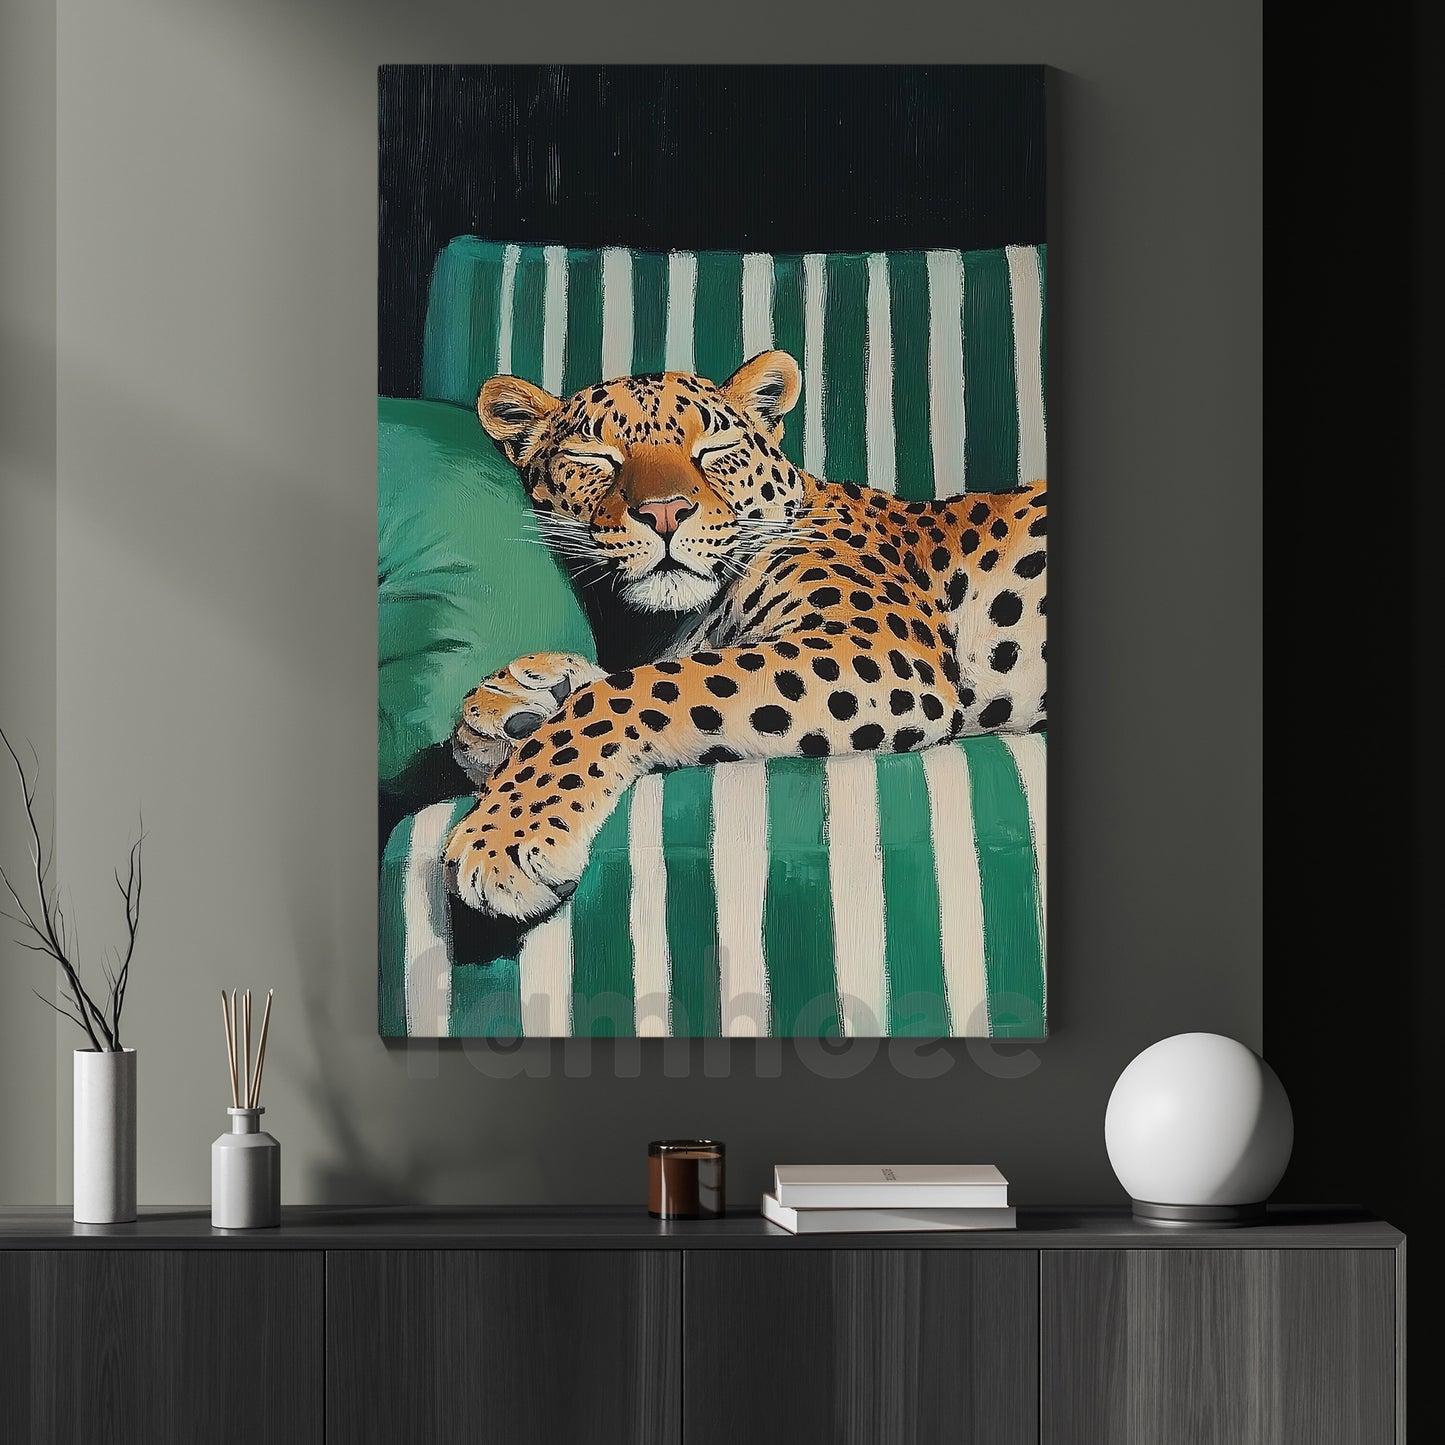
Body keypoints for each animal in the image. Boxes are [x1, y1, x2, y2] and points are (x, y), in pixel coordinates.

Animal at [444, 349, 1046, 920]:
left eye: (714, 449)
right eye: (594, 458)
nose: (666, 513)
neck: (661, 622)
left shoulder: (878, 647)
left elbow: (635, 688)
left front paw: (504, 835)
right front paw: (507, 705)